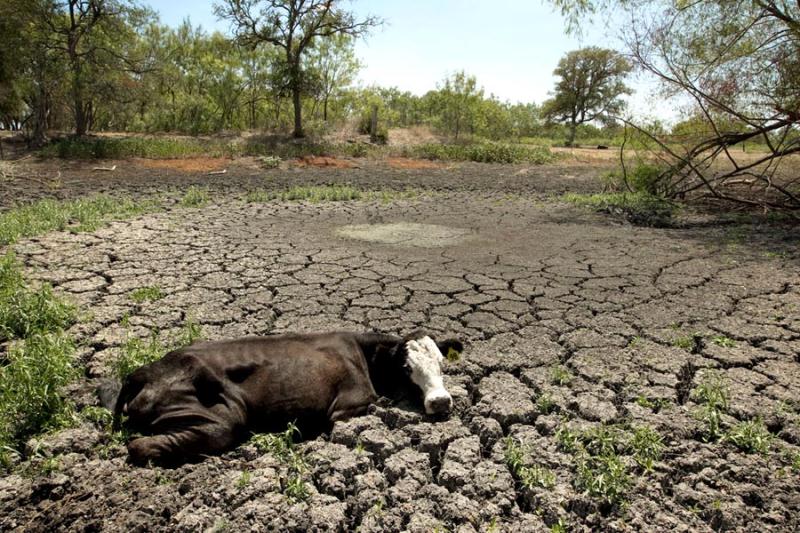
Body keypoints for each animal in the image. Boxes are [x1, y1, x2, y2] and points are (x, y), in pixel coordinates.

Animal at [100, 330, 462, 464]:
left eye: (442, 363)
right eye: (406, 367)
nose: (441, 401)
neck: (364, 353)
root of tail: (140, 373)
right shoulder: (349, 404)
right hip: (219, 417)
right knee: (140, 445)